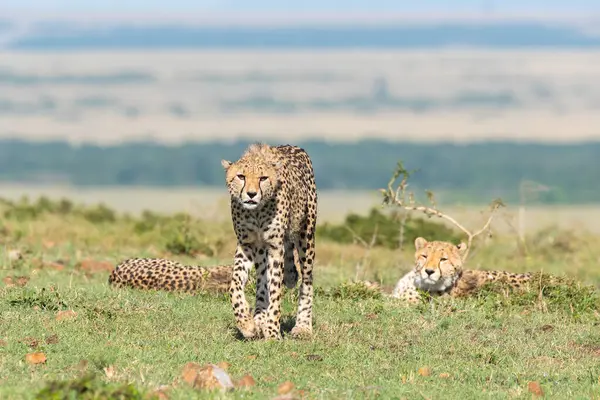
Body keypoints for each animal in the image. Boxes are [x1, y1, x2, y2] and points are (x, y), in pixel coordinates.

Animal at [221, 142, 318, 340]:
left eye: (263, 178)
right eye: (241, 176)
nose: (251, 194)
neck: (257, 211)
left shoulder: (275, 247)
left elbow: (276, 292)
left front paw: (273, 332)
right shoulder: (247, 244)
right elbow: (235, 285)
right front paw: (246, 323)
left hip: (306, 237)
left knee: (307, 282)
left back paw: (303, 326)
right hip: (260, 251)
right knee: (261, 283)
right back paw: (258, 319)